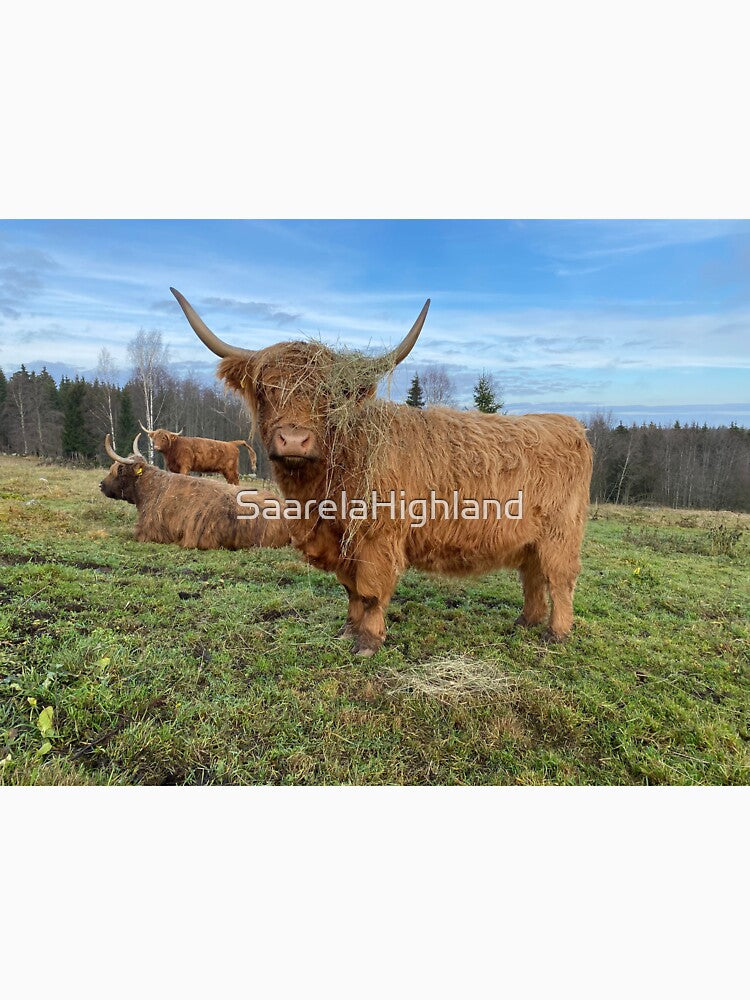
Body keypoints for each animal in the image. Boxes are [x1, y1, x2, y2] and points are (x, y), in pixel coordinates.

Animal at [171, 287, 593, 656]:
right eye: (266, 389)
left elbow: (371, 591)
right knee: (534, 577)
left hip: (560, 533)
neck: (319, 494)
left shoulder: (378, 536)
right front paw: (347, 631)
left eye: (331, 396)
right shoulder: (341, 541)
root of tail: (572, 425)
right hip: (531, 539)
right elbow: (351, 590)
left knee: (560, 579)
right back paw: (526, 622)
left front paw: (368, 643)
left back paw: (555, 634)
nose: (293, 440)